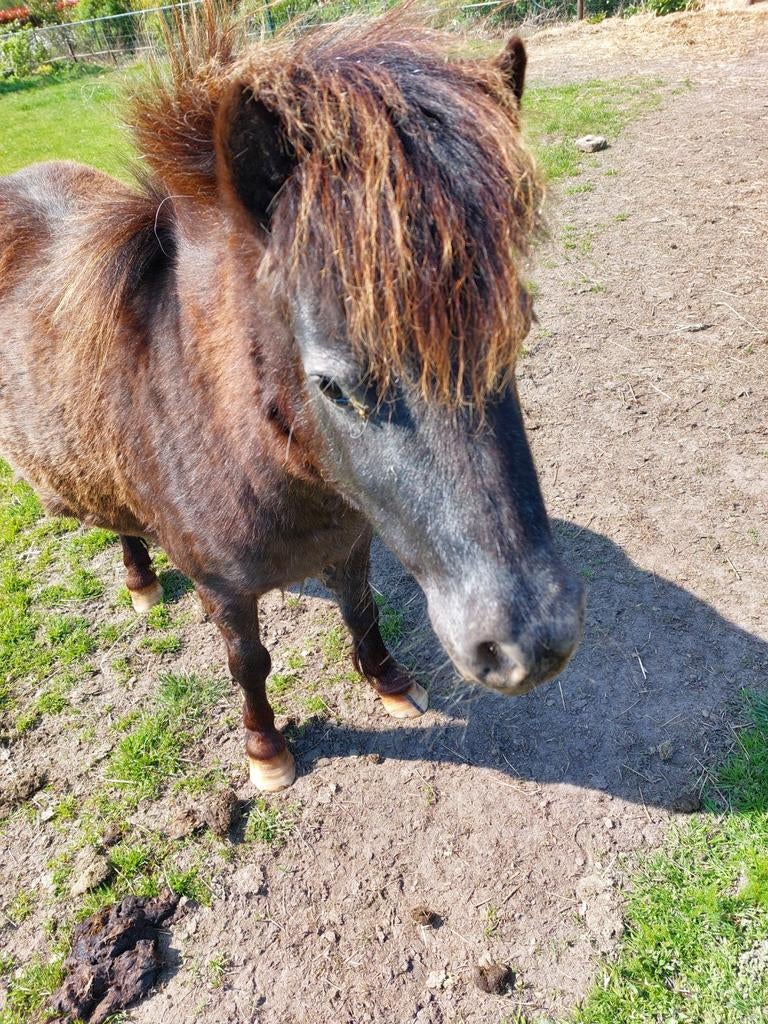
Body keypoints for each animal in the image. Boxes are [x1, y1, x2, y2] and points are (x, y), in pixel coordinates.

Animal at [0, 10, 584, 791]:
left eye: (515, 338)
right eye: (333, 385)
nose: (533, 644)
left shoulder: (354, 539)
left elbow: (362, 610)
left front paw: (390, 683)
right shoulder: (224, 588)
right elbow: (248, 663)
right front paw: (267, 750)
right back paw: (140, 581)